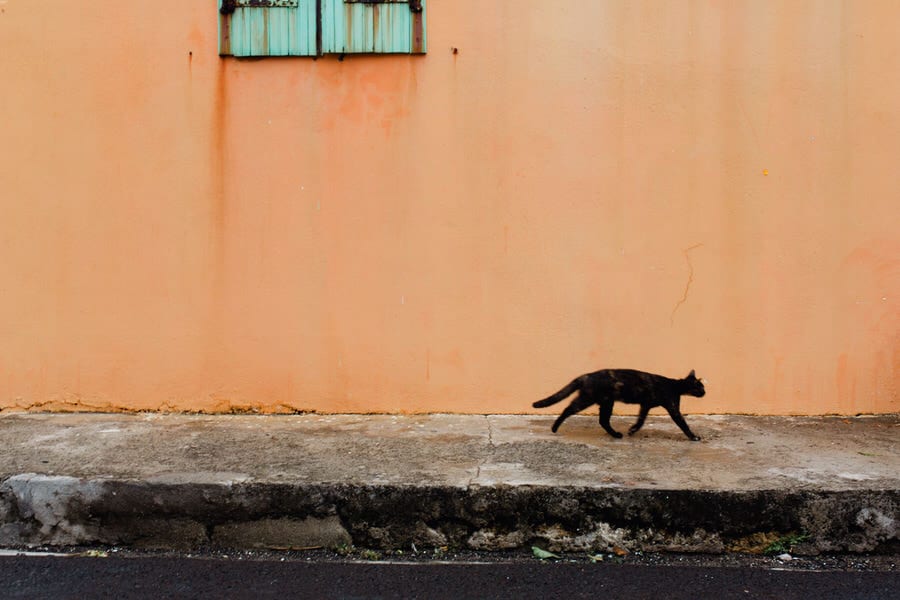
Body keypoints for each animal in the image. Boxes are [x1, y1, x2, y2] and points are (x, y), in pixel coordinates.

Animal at [536, 366, 704, 440]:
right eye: (700, 387)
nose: (705, 392)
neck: (675, 386)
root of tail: (586, 375)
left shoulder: (645, 405)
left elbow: (641, 420)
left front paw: (633, 430)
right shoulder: (673, 408)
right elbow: (683, 424)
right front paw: (694, 437)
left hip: (606, 402)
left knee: (603, 420)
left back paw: (616, 434)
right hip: (588, 399)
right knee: (568, 409)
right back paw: (554, 428)